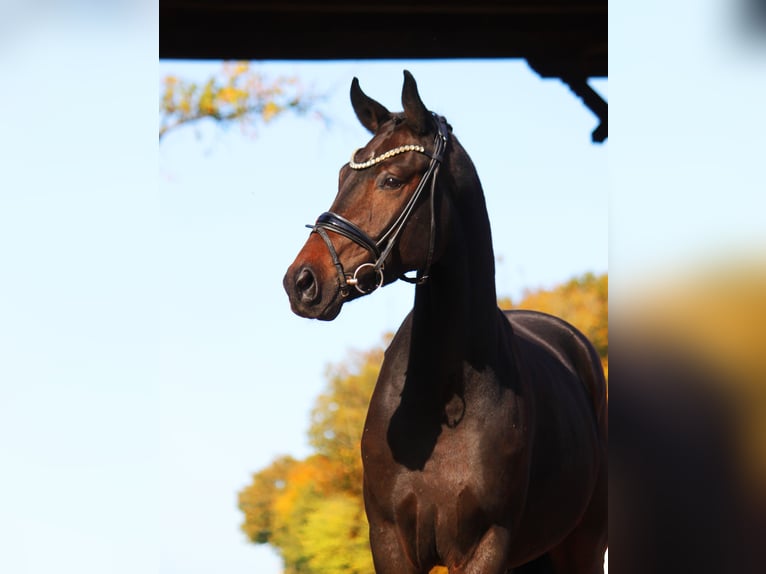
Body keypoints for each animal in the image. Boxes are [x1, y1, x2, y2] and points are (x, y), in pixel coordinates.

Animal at [284, 72, 608, 574]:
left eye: (392, 179)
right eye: (342, 176)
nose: (302, 281)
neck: (445, 395)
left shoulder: (486, 545)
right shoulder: (390, 542)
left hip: (583, 545)